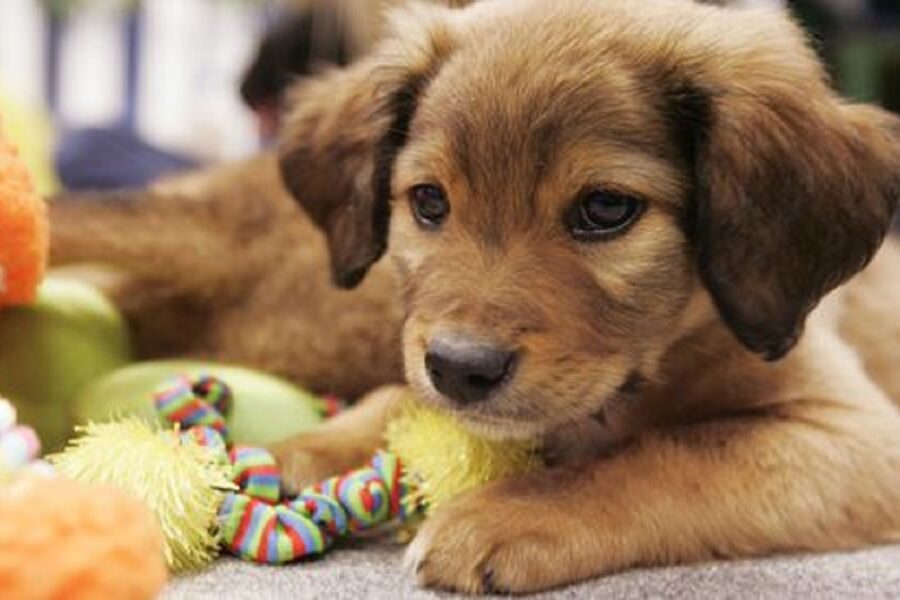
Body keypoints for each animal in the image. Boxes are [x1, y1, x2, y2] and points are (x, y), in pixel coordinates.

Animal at [274, 0, 900, 592]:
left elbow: (669, 454)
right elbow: (398, 395)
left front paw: (507, 513)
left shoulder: (856, 433)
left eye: (605, 208)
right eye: (429, 200)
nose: (458, 369)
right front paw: (309, 447)